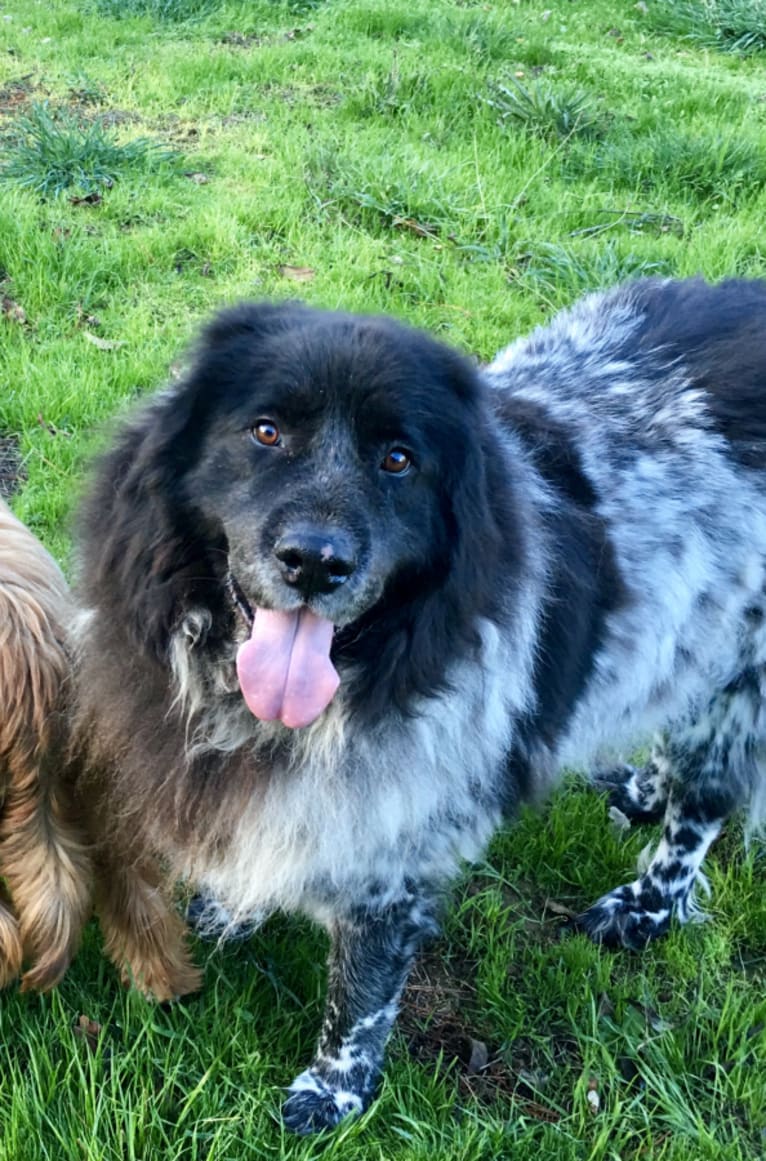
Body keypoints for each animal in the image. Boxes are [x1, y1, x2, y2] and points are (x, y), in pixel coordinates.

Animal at [71, 278, 766, 1133]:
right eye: (266, 431)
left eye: (398, 460)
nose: (315, 562)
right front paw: (237, 908)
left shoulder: (394, 840)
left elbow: (362, 987)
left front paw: (334, 1091)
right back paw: (640, 791)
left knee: (701, 812)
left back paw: (643, 906)